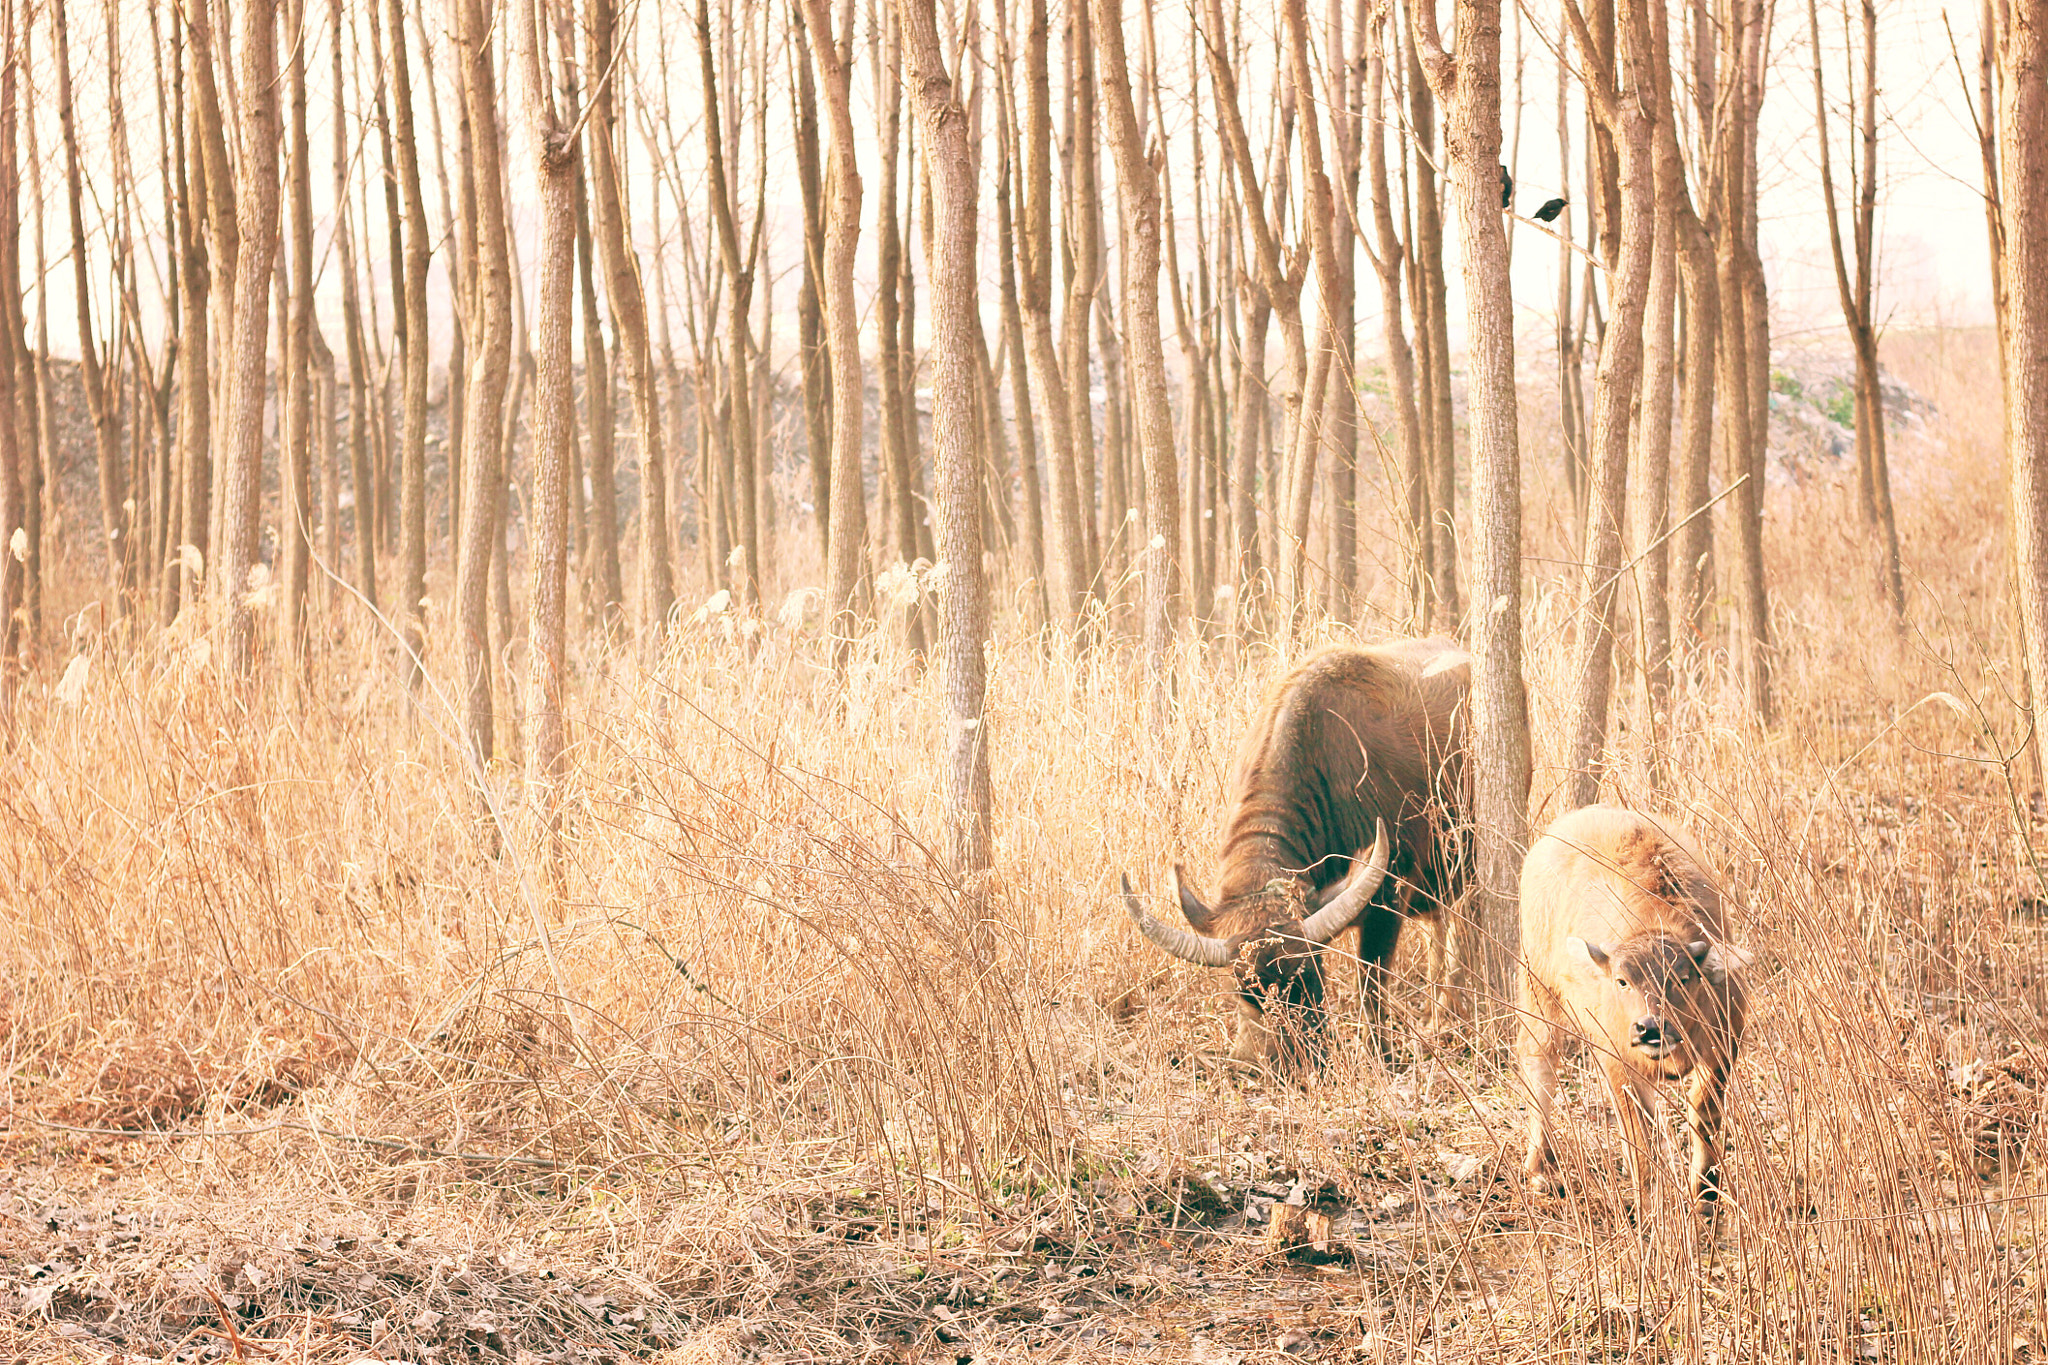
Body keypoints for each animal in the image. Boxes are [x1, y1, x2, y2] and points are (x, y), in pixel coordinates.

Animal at [1121, 638, 1472, 1067]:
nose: (1260, 1064)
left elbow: (1371, 981)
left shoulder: (1389, 897)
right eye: (1244, 990)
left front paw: (1380, 1054)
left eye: (1304, 979)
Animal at [1518, 804, 1753, 1213]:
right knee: (1540, 1063)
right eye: (1622, 980)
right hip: (1540, 994)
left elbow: (1703, 1113)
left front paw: (1706, 1194)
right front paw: (1649, 1205)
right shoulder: (1617, 1059)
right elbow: (1640, 1136)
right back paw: (1539, 1169)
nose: (1649, 1028)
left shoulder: (1723, 1045)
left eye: (1683, 978)